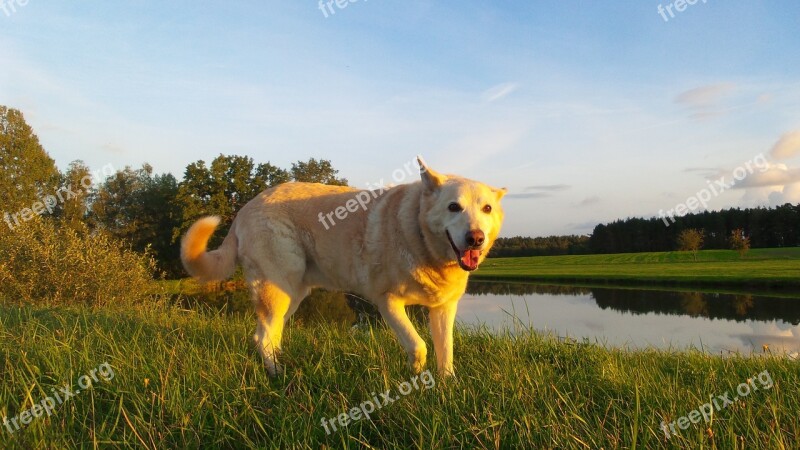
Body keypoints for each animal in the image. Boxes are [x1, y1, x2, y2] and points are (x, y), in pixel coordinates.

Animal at [181, 158, 506, 376]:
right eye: (454, 207)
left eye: (487, 209)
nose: (476, 238)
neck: (421, 237)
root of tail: (244, 208)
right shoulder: (387, 303)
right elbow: (418, 346)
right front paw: (415, 376)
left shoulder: (443, 309)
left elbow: (445, 352)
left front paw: (445, 386)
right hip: (277, 291)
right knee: (262, 338)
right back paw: (277, 376)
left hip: (293, 294)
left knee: (271, 335)